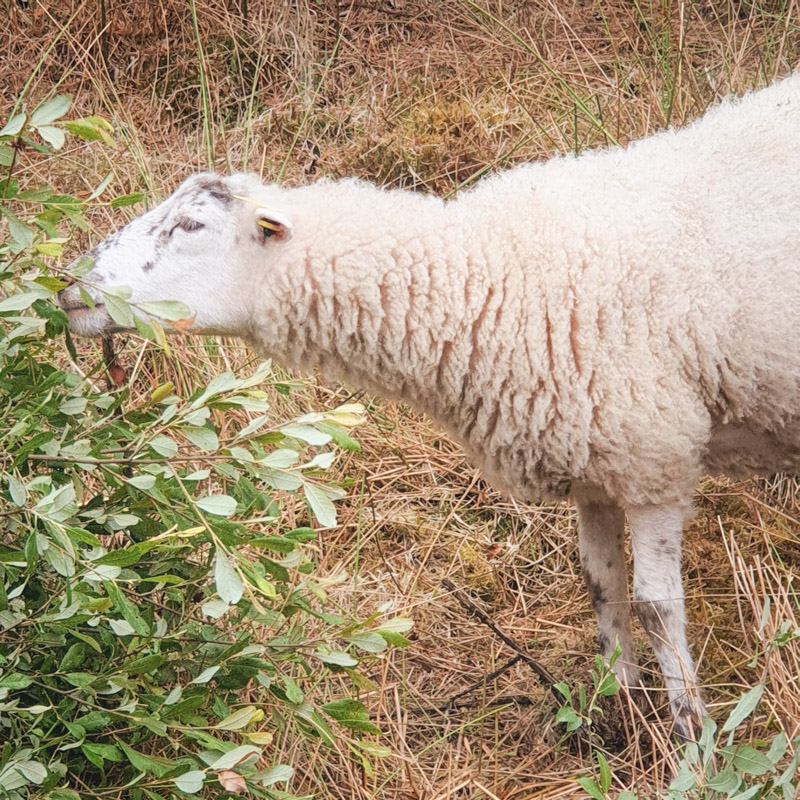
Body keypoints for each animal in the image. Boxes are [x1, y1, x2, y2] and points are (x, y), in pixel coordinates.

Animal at [60, 73, 800, 740]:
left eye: (190, 225)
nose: (69, 290)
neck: (498, 276)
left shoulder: (653, 455)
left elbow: (654, 607)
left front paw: (692, 742)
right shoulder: (593, 456)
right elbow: (601, 583)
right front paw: (611, 713)